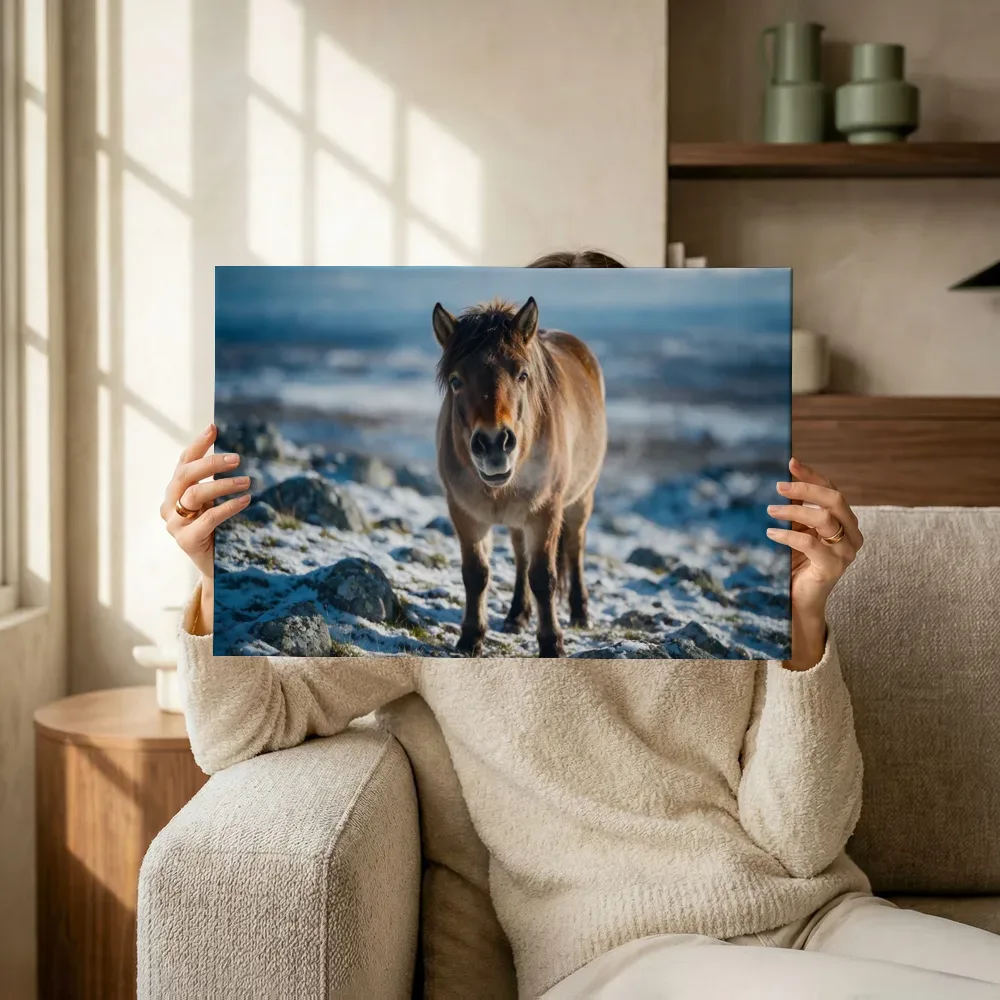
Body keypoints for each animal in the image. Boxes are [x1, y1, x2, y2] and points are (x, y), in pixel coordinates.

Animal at [433, 296, 607, 657]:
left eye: (523, 374)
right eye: (456, 381)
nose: (494, 443)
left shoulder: (546, 513)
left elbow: (544, 578)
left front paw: (552, 644)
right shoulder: (464, 514)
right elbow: (476, 574)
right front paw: (471, 637)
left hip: (581, 499)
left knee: (575, 547)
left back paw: (580, 613)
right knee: (520, 557)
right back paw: (517, 615)